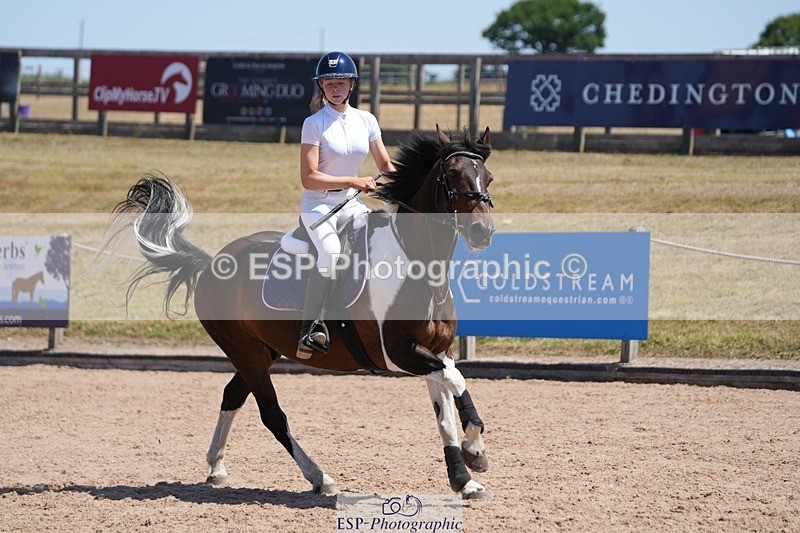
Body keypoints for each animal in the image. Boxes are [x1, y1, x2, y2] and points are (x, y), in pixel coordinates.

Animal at [103, 126, 496, 499]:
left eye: (487, 177)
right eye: (454, 175)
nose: (483, 232)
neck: (419, 264)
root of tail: (213, 261)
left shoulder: (436, 350)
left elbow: (446, 412)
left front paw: (465, 476)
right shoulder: (400, 352)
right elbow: (457, 382)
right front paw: (474, 449)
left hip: (262, 351)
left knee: (233, 395)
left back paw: (216, 467)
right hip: (244, 351)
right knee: (272, 415)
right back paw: (320, 477)